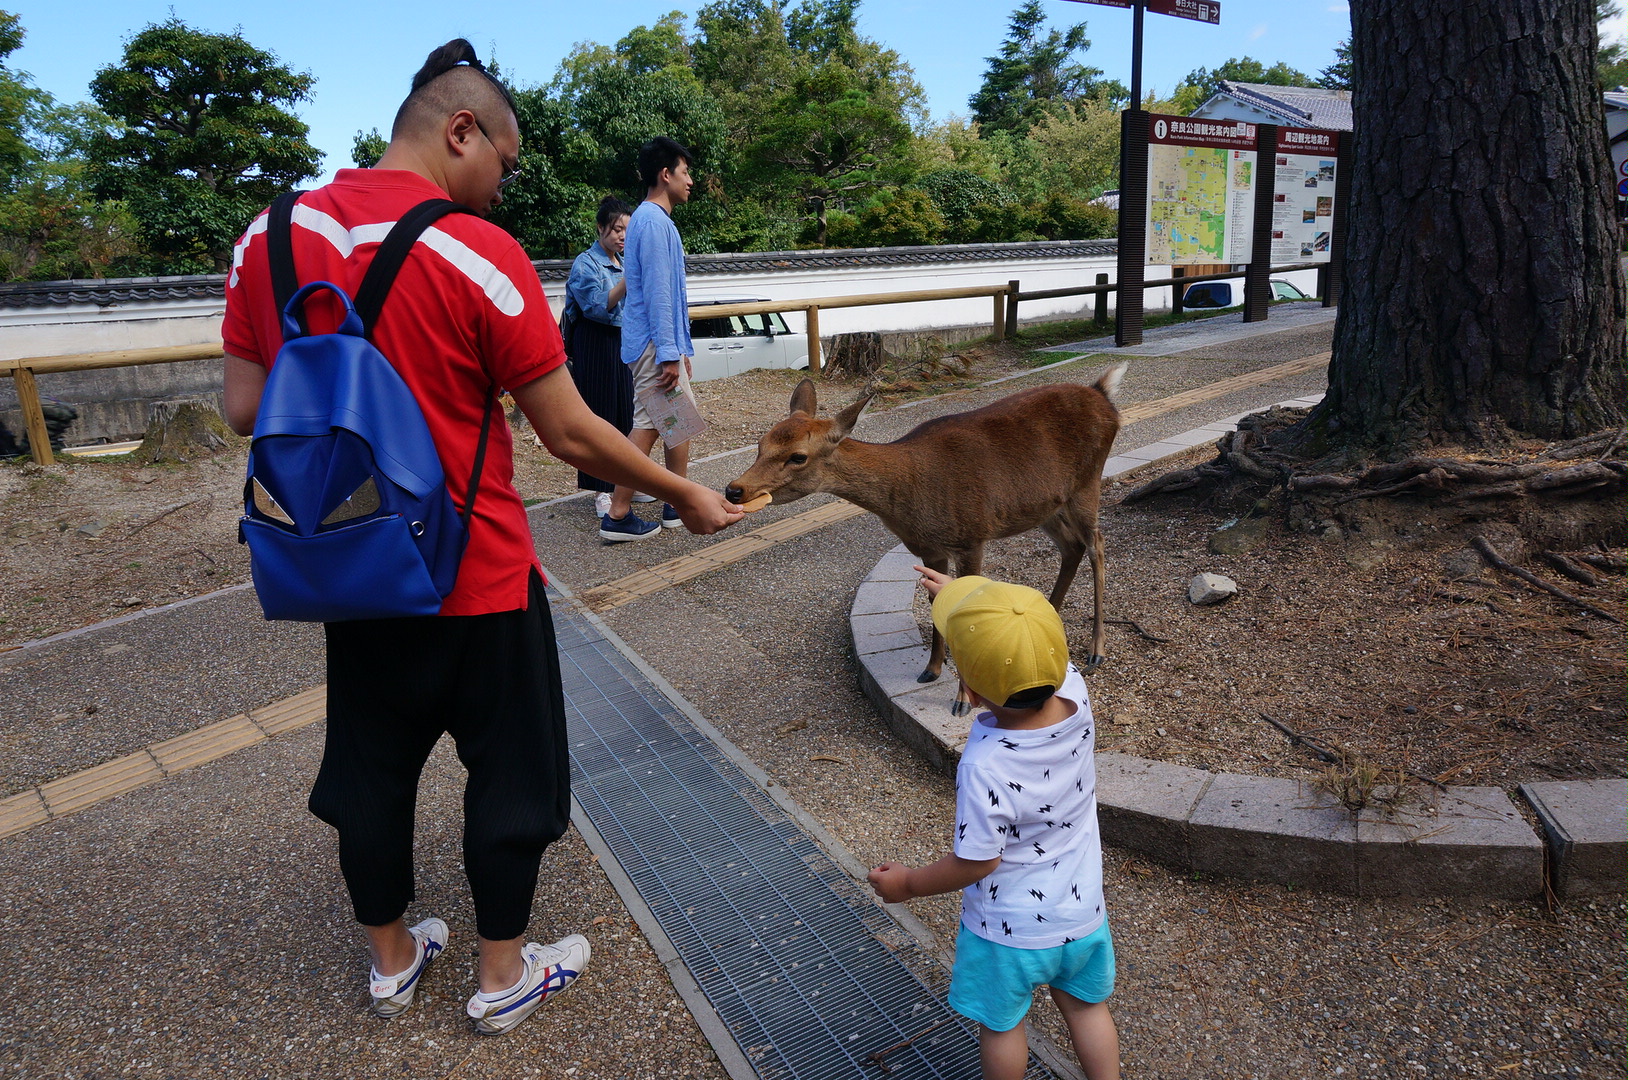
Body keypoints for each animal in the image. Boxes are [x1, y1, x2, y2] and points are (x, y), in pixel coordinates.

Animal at [726, 368, 1120, 713]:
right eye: (760, 443)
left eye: (798, 456)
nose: (734, 490)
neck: (909, 496)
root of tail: (1103, 395)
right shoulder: (929, 549)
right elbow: (935, 605)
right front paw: (931, 670)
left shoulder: (971, 536)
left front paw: (962, 700)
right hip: (1045, 506)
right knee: (1072, 547)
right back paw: (1044, 620)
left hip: (1087, 482)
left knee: (1097, 544)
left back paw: (1096, 651)